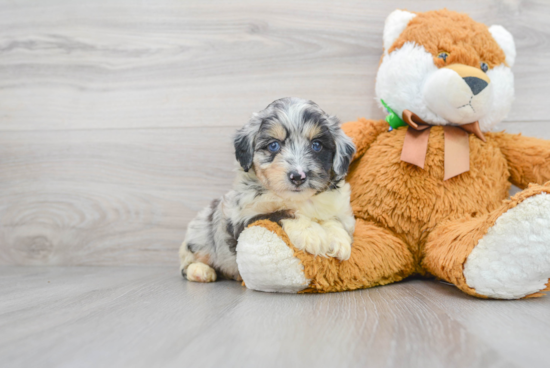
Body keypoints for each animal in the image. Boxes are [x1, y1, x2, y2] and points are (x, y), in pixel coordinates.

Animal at [179, 97, 356, 282]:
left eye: (316, 145)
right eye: (273, 146)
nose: (298, 176)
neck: (299, 200)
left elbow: (334, 220)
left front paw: (339, 240)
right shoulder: (244, 218)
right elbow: (280, 213)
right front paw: (312, 234)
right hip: (200, 234)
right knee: (187, 260)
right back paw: (200, 270)